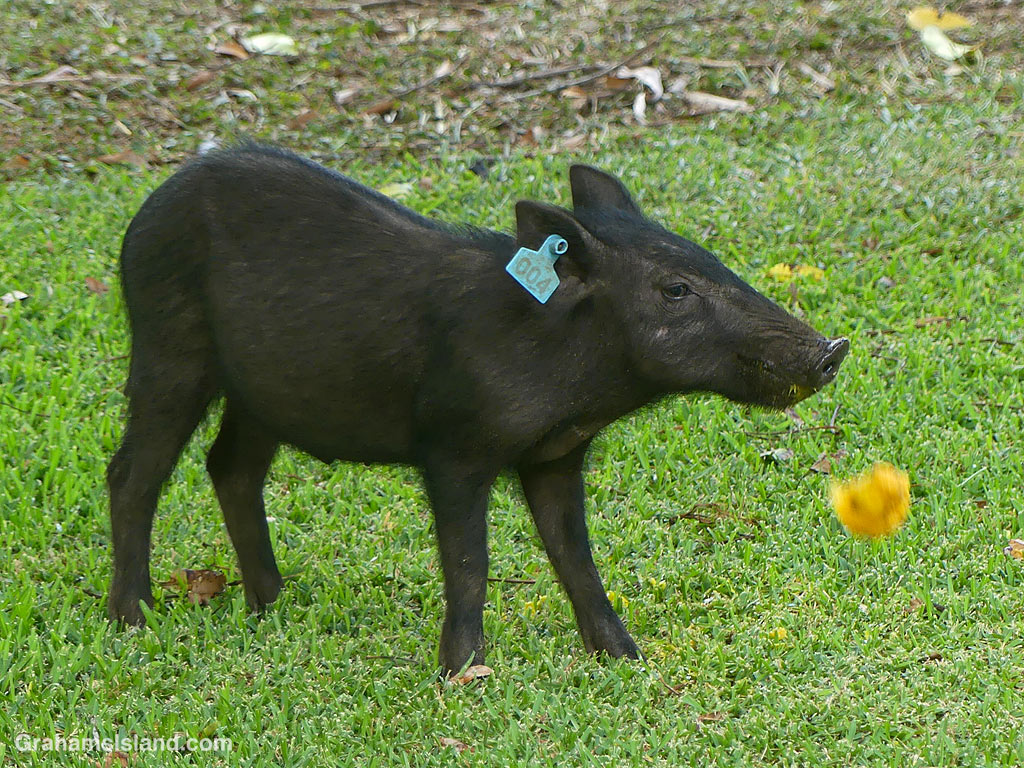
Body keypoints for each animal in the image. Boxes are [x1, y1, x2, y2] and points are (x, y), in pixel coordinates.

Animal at [107, 144, 849, 673]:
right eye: (674, 289)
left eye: (712, 260)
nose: (832, 348)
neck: (575, 382)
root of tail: (143, 213)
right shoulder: (452, 446)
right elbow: (470, 563)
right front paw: (463, 676)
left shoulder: (556, 456)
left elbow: (575, 555)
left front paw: (625, 658)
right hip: (167, 347)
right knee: (133, 472)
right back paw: (132, 621)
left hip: (260, 394)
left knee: (229, 466)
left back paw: (274, 606)